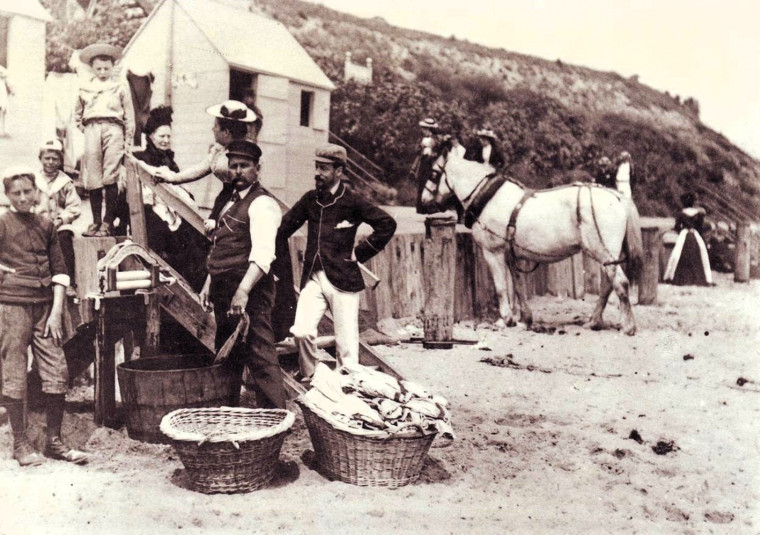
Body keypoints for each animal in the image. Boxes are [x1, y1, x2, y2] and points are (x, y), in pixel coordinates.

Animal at [418, 142, 644, 336]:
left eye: (434, 173)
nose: (423, 203)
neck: (489, 198)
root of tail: (618, 197)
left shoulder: (493, 252)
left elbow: (501, 287)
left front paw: (506, 319)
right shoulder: (512, 256)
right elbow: (518, 287)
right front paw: (525, 319)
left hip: (603, 252)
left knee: (620, 283)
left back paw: (627, 327)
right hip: (609, 256)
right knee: (608, 285)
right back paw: (594, 321)